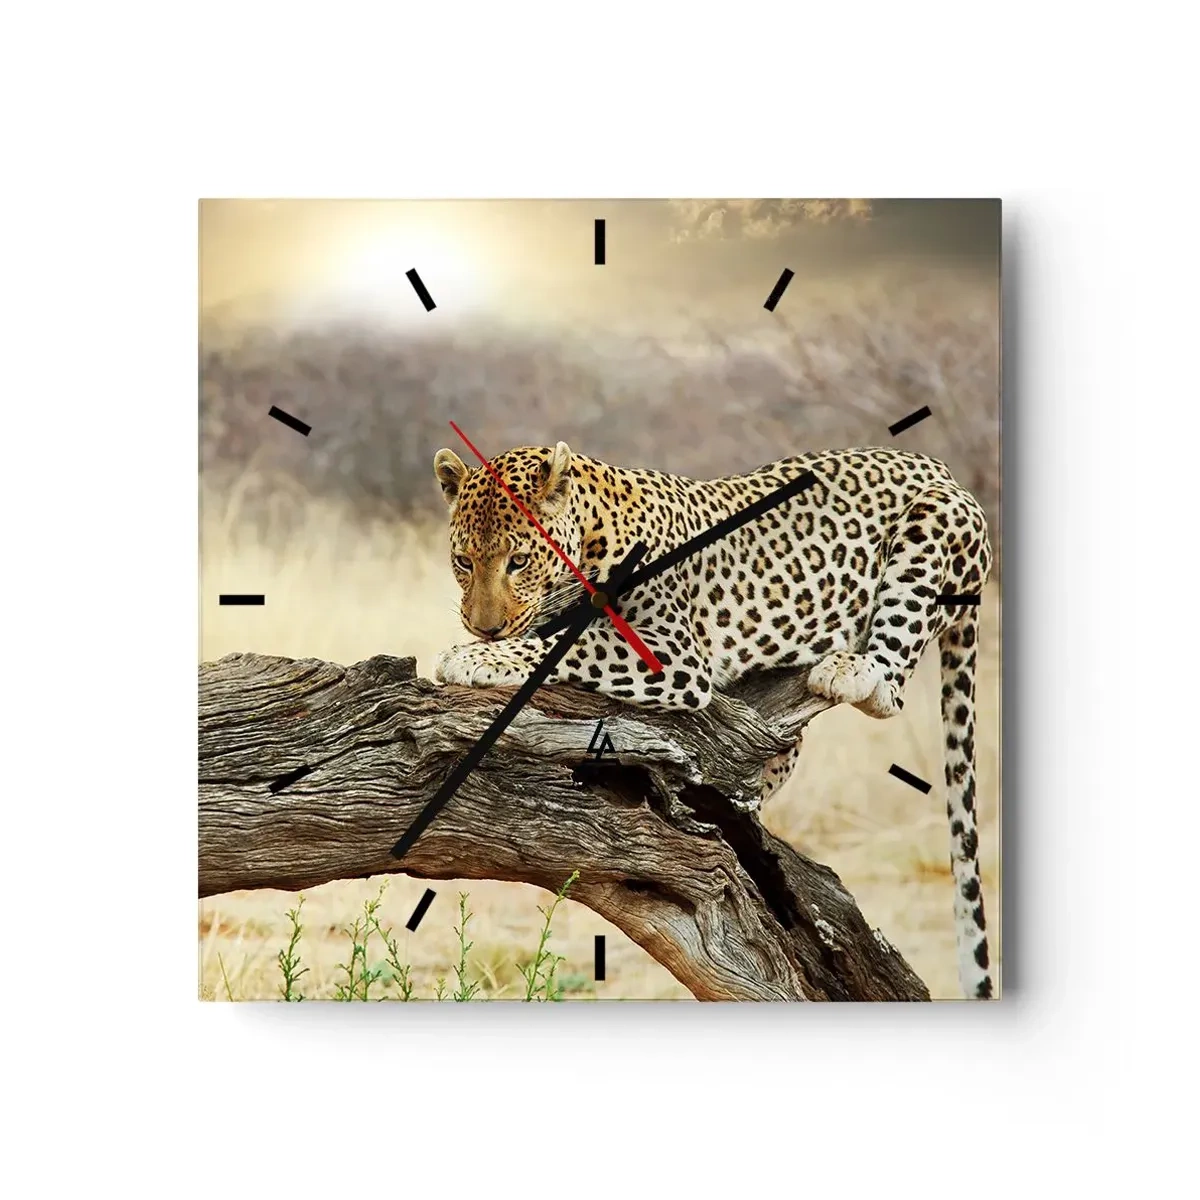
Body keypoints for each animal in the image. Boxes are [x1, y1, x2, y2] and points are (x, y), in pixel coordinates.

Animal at [432, 440, 994, 1000]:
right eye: (462, 561)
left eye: (519, 560)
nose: (484, 629)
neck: (589, 540)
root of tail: (941, 468)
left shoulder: (671, 655)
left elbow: (568, 646)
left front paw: (474, 658)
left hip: (929, 528)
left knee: (889, 686)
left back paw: (848, 670)